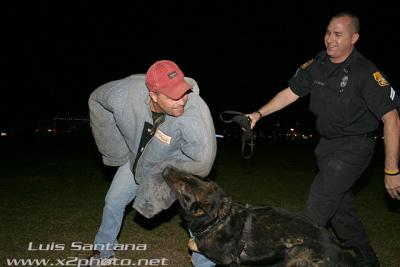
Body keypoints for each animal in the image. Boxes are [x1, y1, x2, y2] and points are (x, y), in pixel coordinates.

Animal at [162, 166, 356, 266]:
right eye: (189, 175)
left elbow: (194, 243)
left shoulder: (226, 260)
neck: (217, 220)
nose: (166, 168)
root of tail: (337, 245)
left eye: (182, 186)